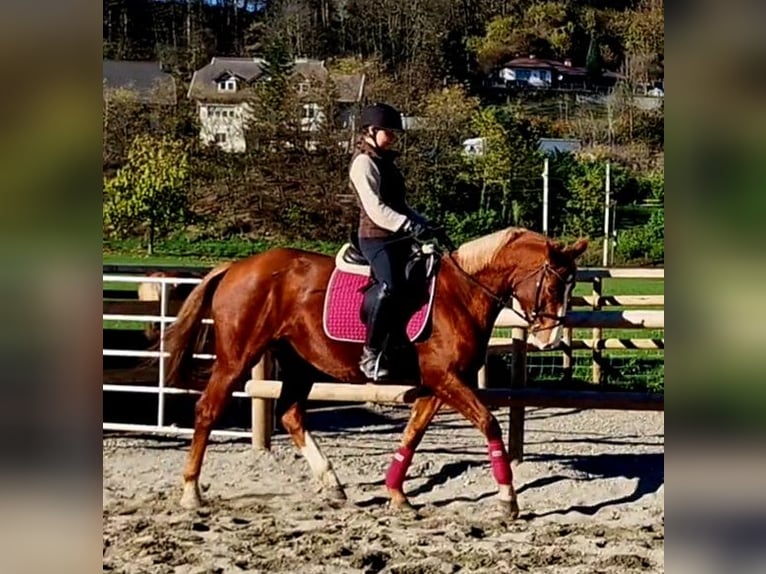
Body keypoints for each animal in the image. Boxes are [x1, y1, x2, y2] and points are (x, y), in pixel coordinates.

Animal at [165, 228, 592, 516]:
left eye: (572, 286)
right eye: (553, 284)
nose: (551, 338)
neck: (461, 294)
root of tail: (236, 267)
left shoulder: (436, 385)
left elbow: (413, 434)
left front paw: (397, 494)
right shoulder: (446, 380)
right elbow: (489, 423)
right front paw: (507, 499)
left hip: (300, 364)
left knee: (290, 414)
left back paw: (332, 484)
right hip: (237, 358)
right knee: (208, 410)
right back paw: (190, 492)